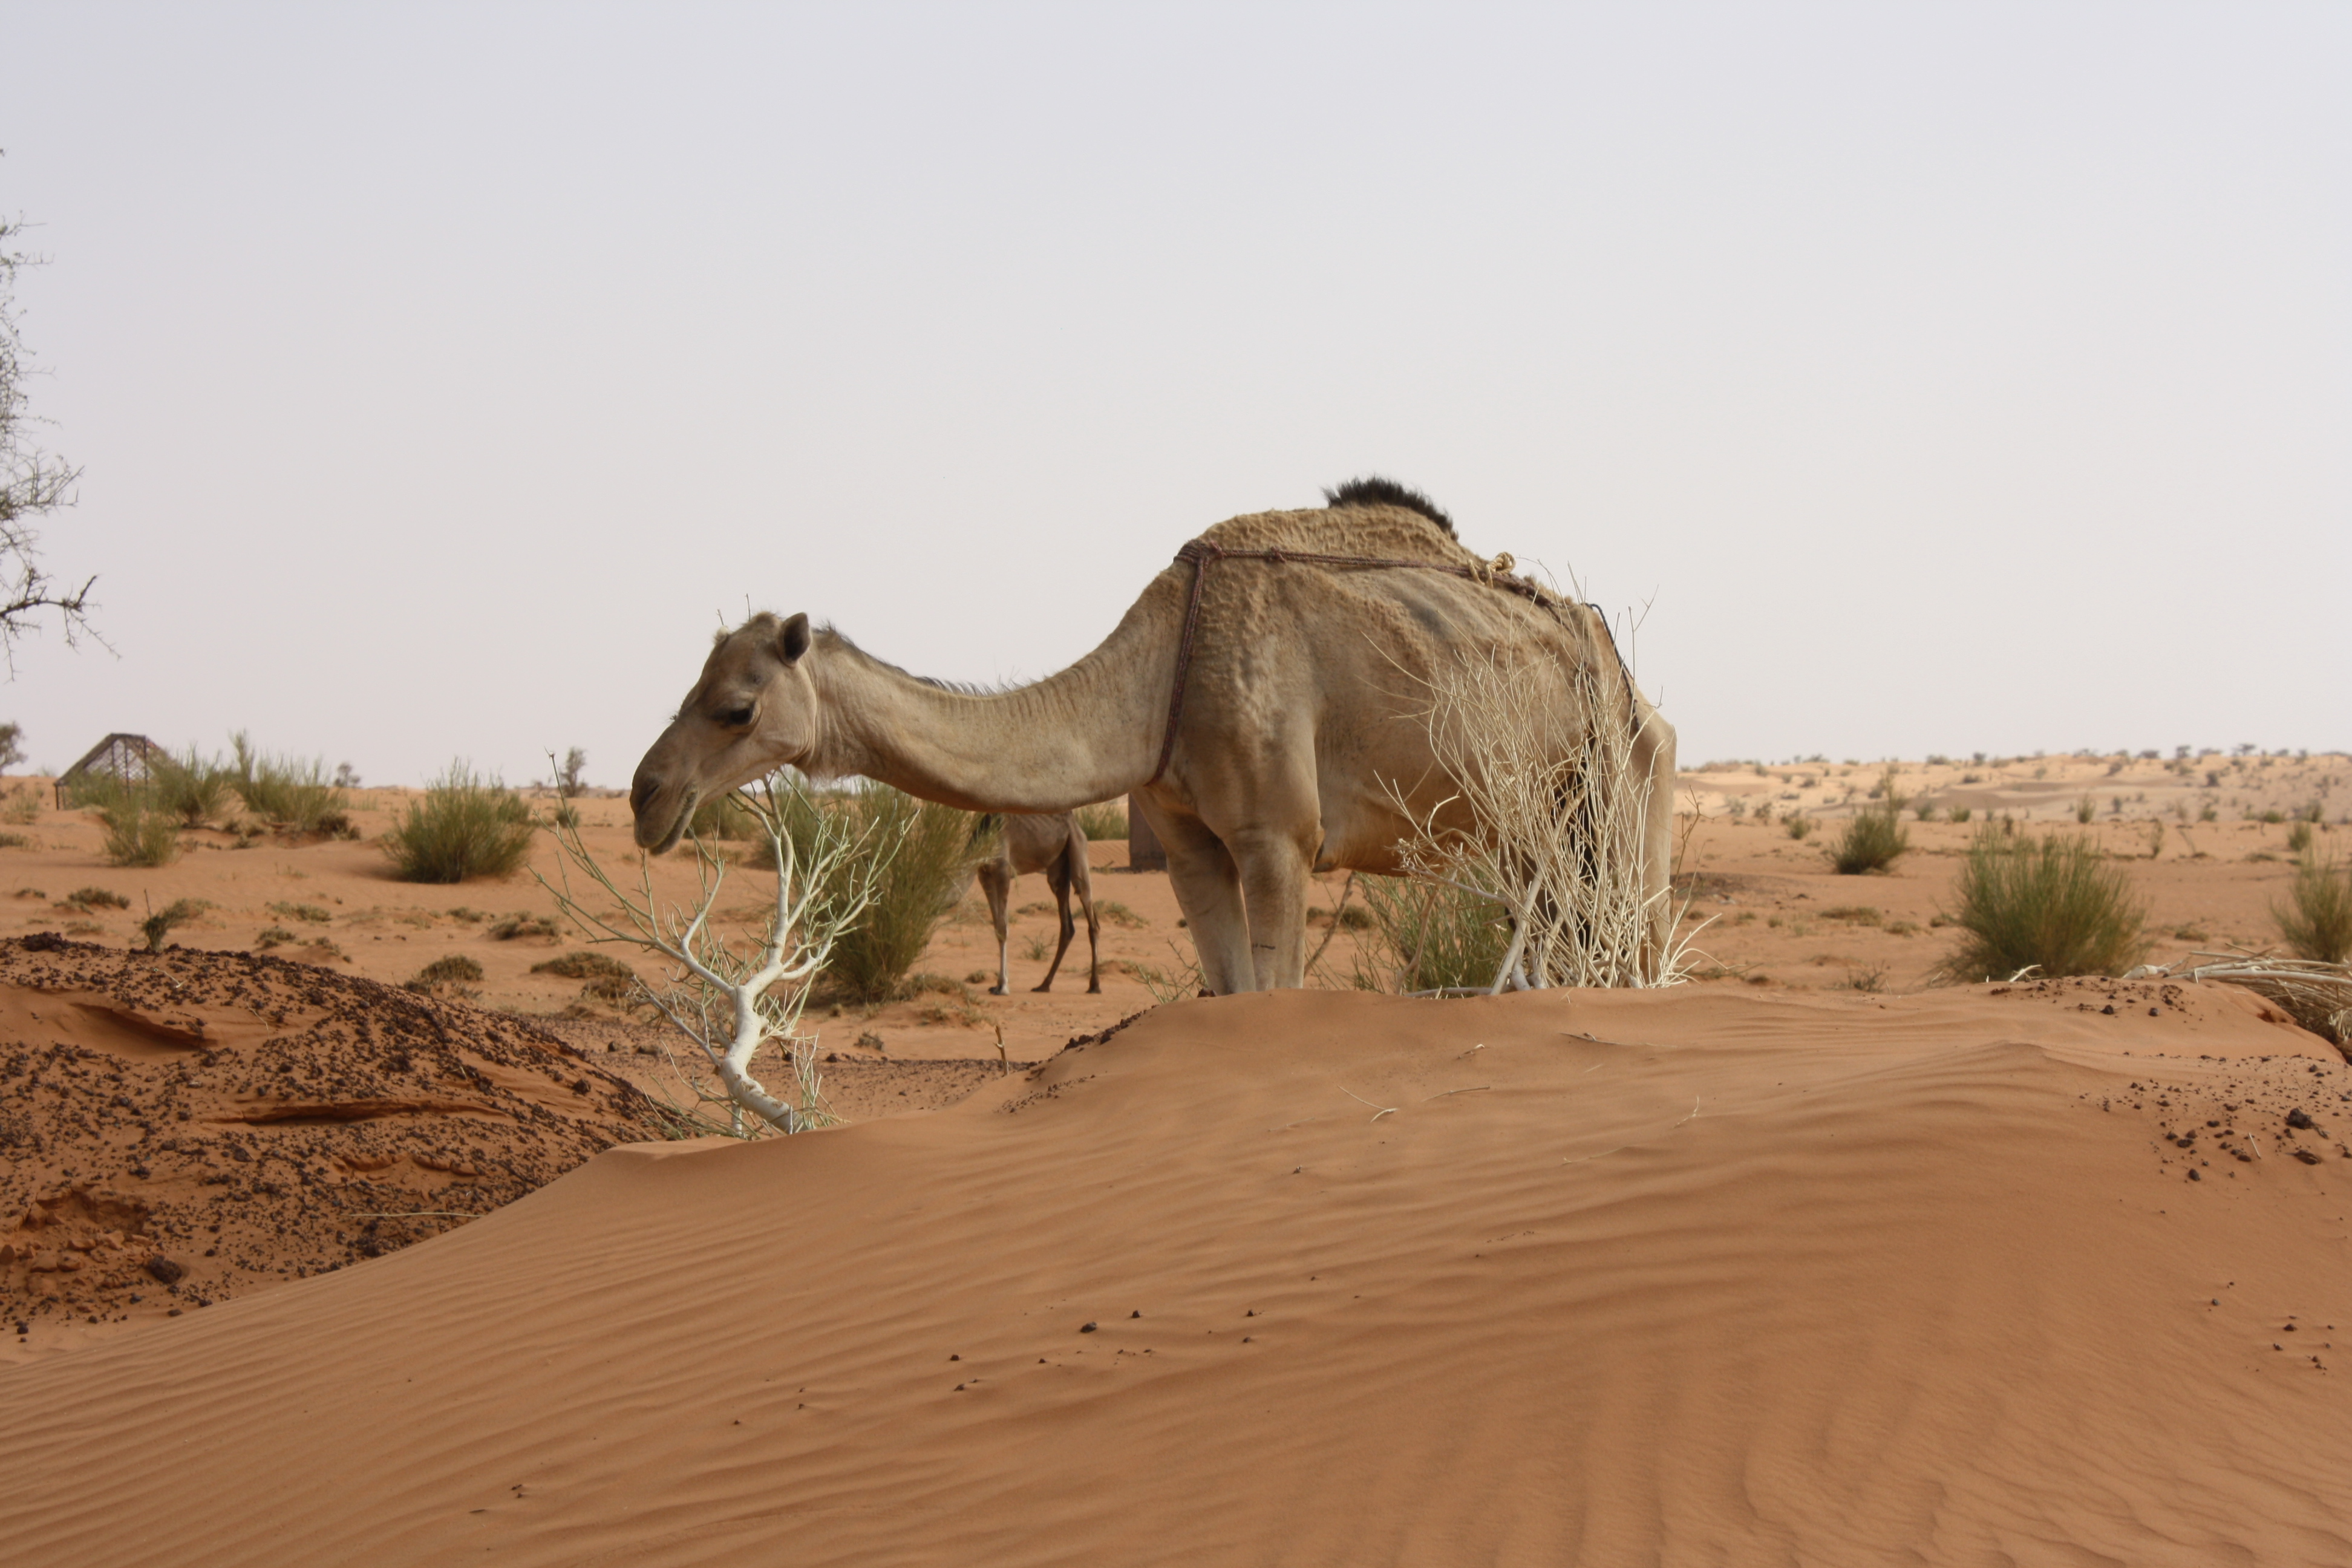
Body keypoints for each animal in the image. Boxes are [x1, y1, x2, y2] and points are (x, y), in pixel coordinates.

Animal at [973, 808, 1100, 991]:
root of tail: (1075, 822)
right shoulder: (984, 874)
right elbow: (998, 927)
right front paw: (999, 984)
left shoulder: (1003, 871)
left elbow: (1003, 928)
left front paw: (1003, 986)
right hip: (1058, 867)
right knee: (1067, 924)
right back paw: (1044, 984)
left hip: (1078, 848)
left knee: (1090, 912)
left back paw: (1095, 985)